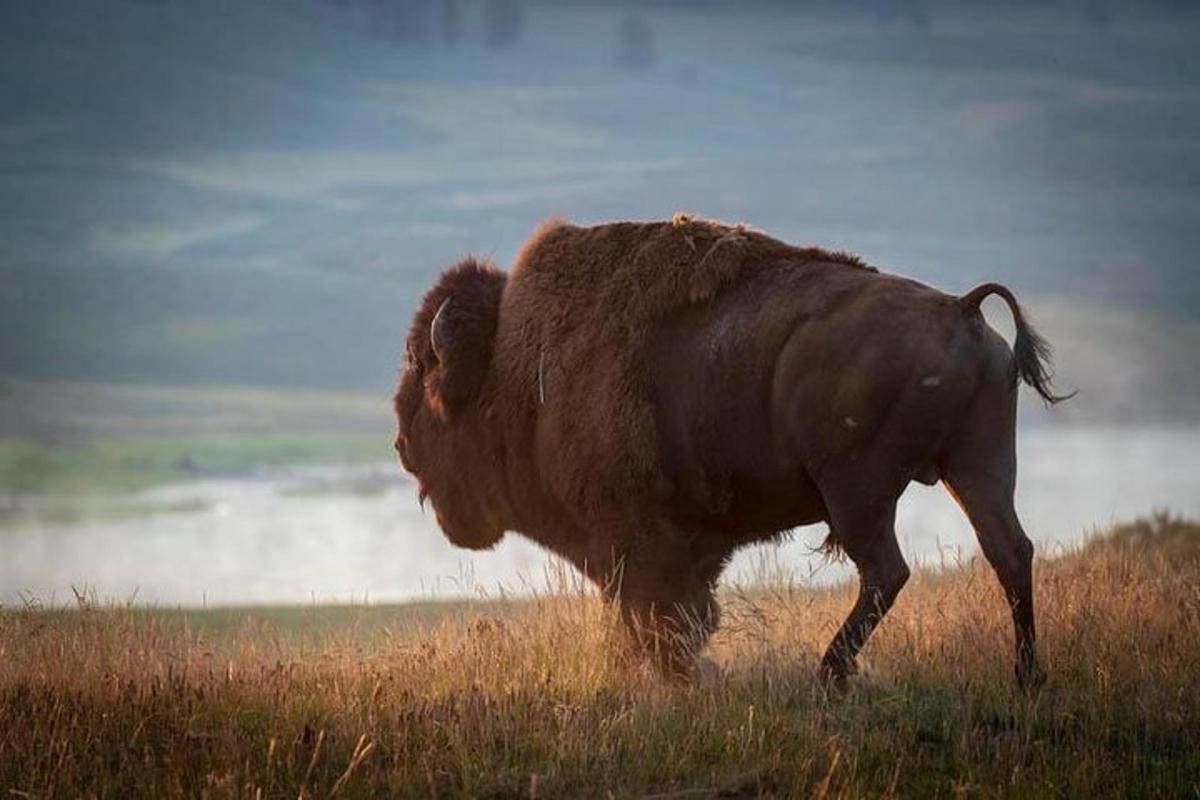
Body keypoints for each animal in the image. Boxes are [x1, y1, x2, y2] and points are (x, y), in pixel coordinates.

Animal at [396, 214, 1070, 690]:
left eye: (426, 382)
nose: (401, 447)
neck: (513, 369)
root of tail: (960, 308)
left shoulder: (634, 540)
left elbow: (656, 615)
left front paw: (679, 676)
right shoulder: (685, 545)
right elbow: (676, 614)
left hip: (858, 489)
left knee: (888, 570)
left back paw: (829, 674)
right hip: (978, 464)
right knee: (1009, 551)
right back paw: (1025, 676)